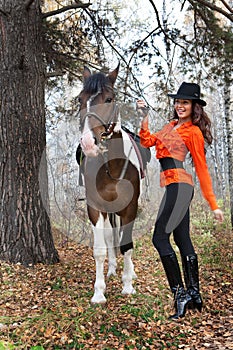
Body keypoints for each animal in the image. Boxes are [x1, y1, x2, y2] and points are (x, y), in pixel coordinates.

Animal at [78, 65, 146, 304]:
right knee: (109, 237)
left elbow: (127, 245)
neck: (110, 164)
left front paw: (128, 286)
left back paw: (129, 272)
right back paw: (112, 269)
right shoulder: (95, 207)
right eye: (80, 99)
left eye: (109, 99)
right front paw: (99, 292)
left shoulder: (130, 207)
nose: (88, 143)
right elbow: (100, 248)